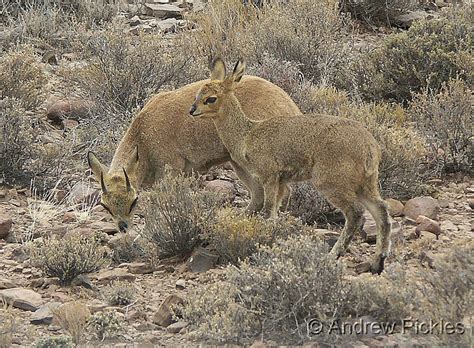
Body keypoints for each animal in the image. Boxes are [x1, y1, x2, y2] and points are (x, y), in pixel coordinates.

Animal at [190, 58, 392, 274]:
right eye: (198, 93)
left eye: (211, 98)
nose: (192, 110)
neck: (247, 135)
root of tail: (370, 146)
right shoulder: (281, 183)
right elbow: (275, 210)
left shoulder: (269, 178)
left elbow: (268, 210)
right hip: (365, 185)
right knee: (381, 211)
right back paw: (377, 262)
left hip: (332, 185)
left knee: (355, 213)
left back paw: (334, 255)